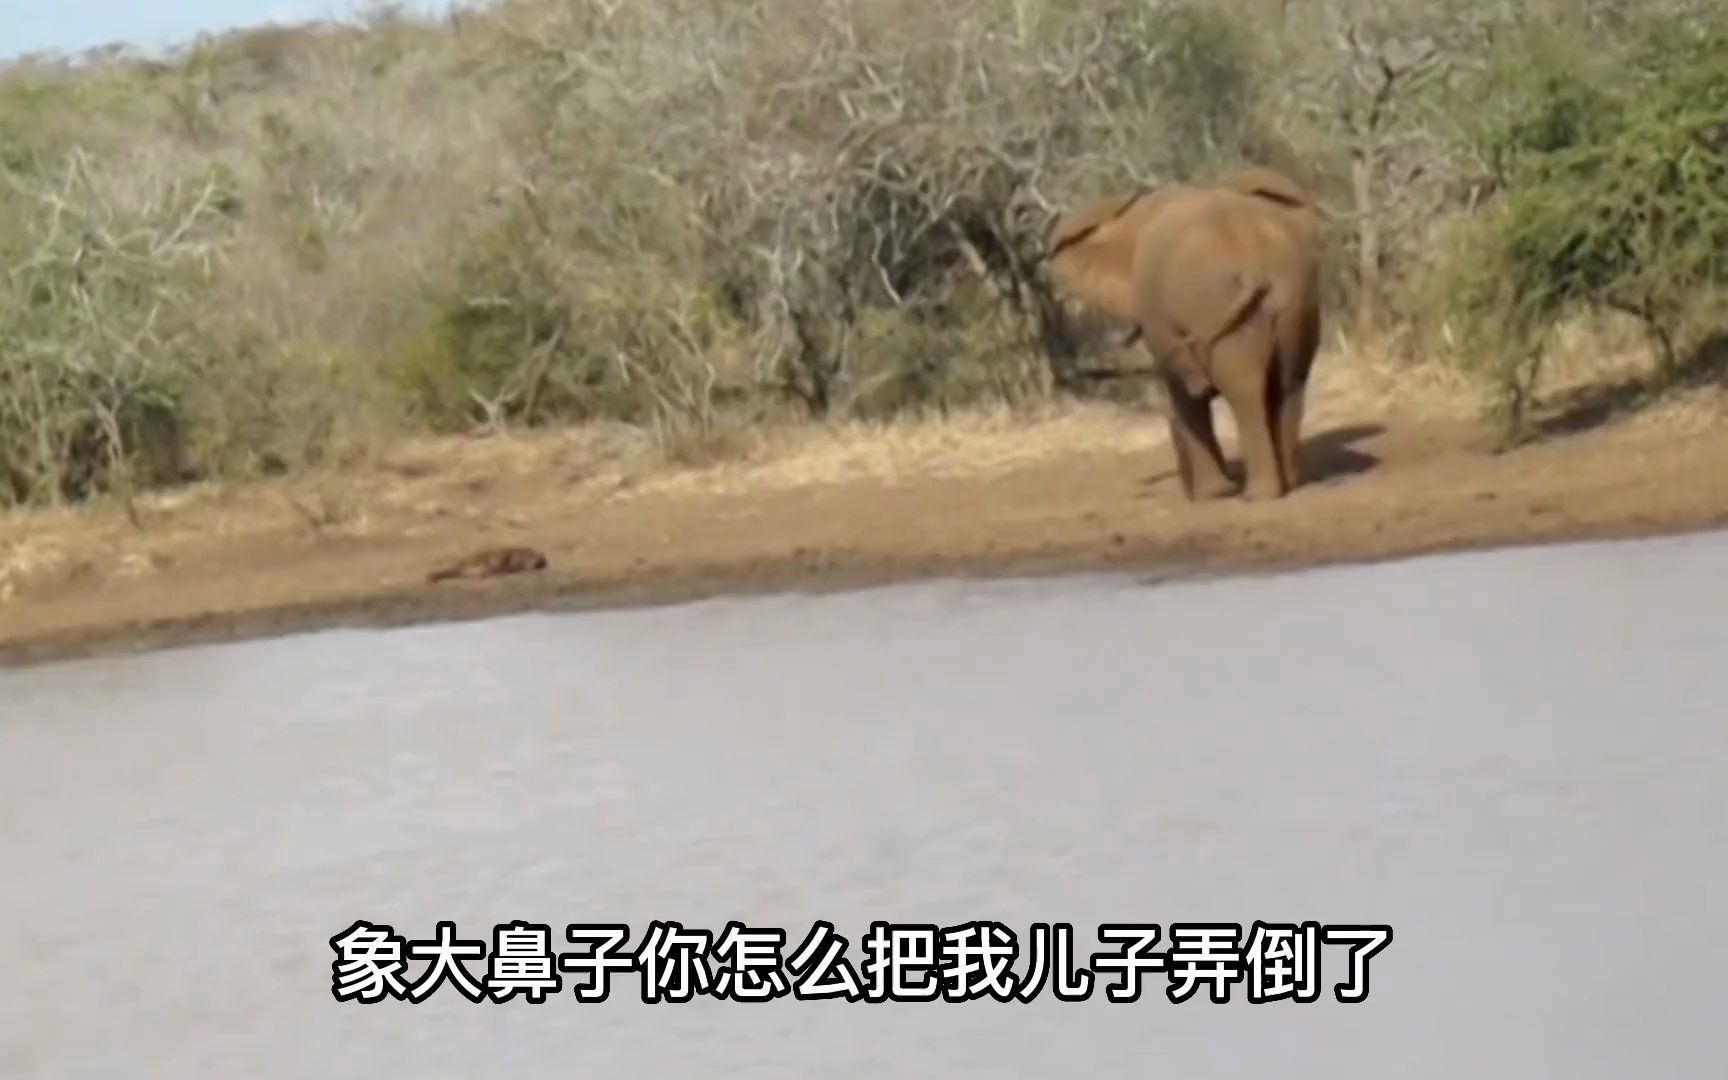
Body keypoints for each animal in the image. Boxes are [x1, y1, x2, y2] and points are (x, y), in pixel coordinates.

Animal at [1044, 165, 1326, 502]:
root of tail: (1253, 261)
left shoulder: (1157, 311)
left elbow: (1184, 390)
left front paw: (1211, 495)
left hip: (1211, 301)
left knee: (1244, 388)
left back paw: (1258, 494)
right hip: (1295, 297)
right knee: (1290, 381)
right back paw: (1292, 483)